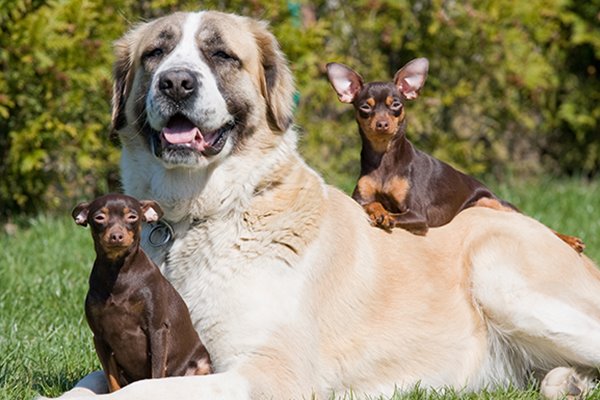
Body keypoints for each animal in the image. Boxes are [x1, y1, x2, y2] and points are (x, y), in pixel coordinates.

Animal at [74, 194, 212, 390]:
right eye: (99, 218)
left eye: (132, 217)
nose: (116, 236)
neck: (118, 273)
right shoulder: (99, 338)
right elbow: (112, 380)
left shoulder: (157, 330)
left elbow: (156, 373)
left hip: (200, 364)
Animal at [326, 59, 584, 253]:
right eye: (365, 107)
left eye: (396, 104)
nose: (382, 124)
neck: (384, 159)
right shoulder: (360, 199)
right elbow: (373, 203)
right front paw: (380, 212)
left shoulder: (418, 216)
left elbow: (395, 213)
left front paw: (385, 215)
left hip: (498, 204)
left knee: (539, 226)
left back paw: (570, 240)